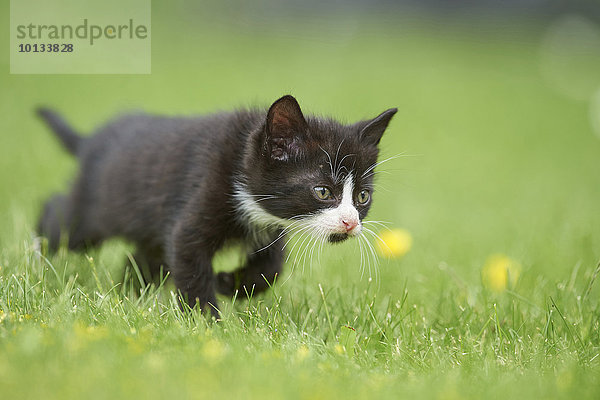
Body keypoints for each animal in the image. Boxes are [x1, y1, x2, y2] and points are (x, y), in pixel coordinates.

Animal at [36, 96, 394, 316]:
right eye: (323, 191)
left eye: (362, 197)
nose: (350, 222)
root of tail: (91, 141)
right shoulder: (198, 202)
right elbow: (191, 264)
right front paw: (207, 324)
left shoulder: (269, 226)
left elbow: (272, 268)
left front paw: (229, 284)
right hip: (93, 214)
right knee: (60, 215)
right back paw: (37, 258)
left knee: (143, 258)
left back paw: (132, 294)